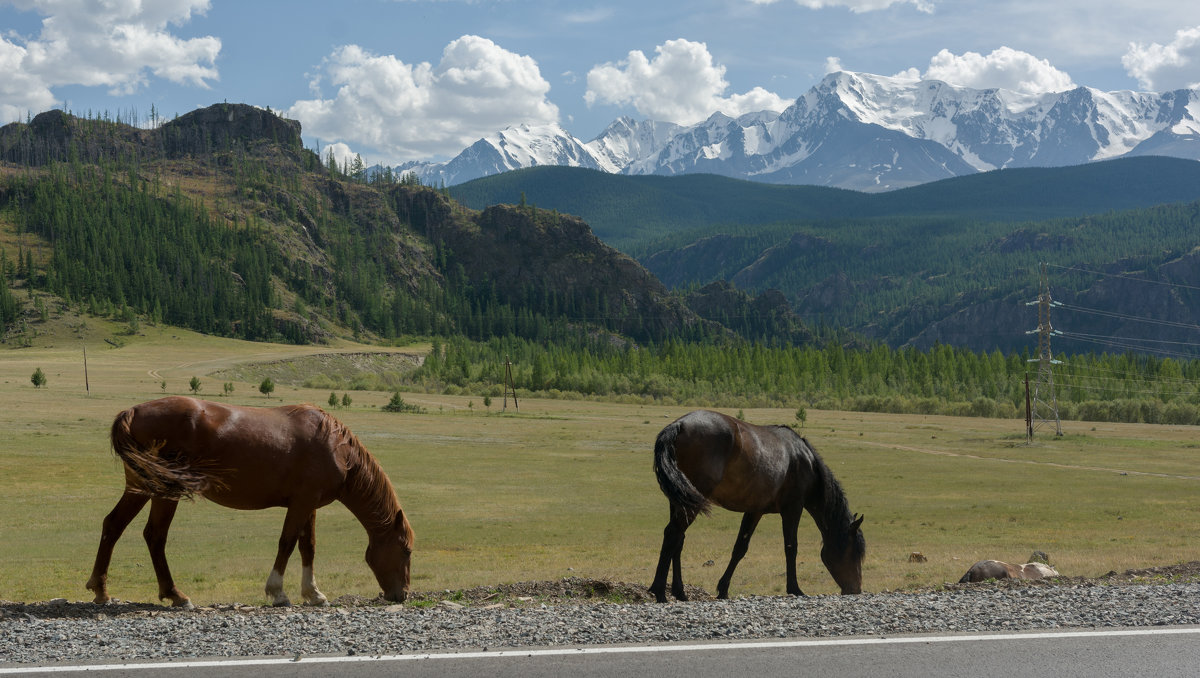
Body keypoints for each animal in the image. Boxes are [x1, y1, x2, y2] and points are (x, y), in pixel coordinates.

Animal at [84, 393, 412, 604]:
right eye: (406, 551)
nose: (403, 595)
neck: (336, 447)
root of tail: (133, 412)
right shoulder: (302, 503)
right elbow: (287, 543)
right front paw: (278, 592)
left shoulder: (309, 505)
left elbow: (308, 546)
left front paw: (313, 593)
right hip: (164, 491)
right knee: (155, 535)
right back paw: (176, 595)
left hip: (141, 487)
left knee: (114, 525)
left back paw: (102, 590)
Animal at [652, 410, 868, 600]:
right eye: (854, 551)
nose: (856, 589)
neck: (805, 461)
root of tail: (679, 425)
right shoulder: (792, 509)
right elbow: (791, 547)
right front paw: (795, 589)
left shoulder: (754, 511)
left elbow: (740, 548)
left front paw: (723, 589)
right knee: (673, 534)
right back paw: (659, 591)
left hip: (681, 501)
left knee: (678, 539)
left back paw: (679, 592)